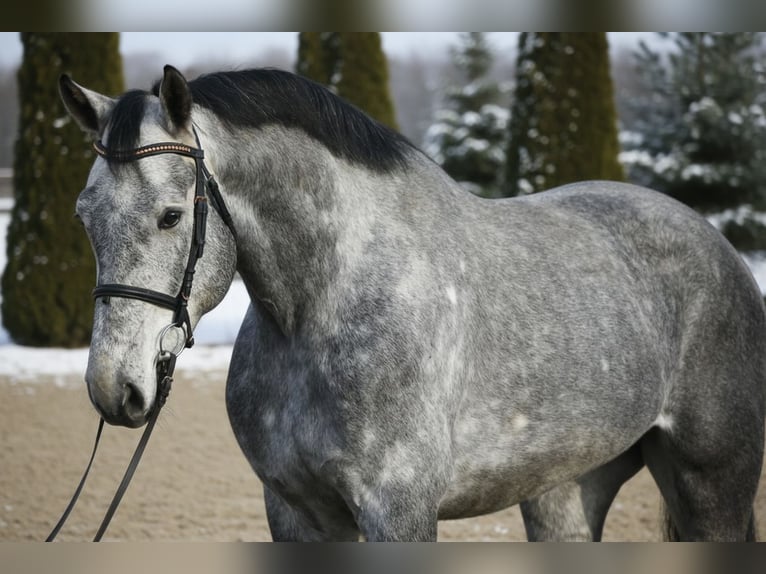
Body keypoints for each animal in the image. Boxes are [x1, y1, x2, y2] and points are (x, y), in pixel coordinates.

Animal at [58, 64, 765, 541]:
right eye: (83, 217)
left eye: (171, 216)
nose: (113, 388)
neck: (325, 310)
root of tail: (720, 248)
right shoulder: (294, 511)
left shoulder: (397, 511)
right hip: (566, 490)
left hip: (713, 484)